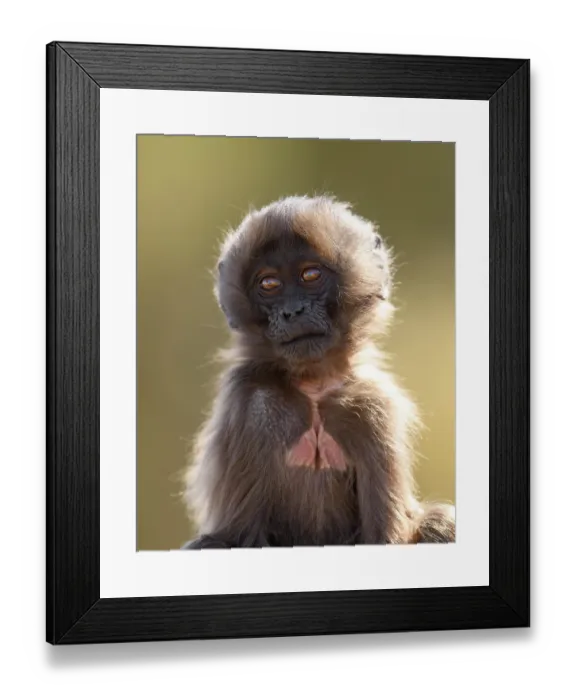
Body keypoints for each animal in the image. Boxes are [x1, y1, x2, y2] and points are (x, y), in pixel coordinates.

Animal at [180, 195, 455, 549]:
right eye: (269, 284)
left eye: (310, 275)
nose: (292, 311)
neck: (312, 387)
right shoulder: (251, 405)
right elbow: (234, 537)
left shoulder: (373, 408)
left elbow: (387, 537)